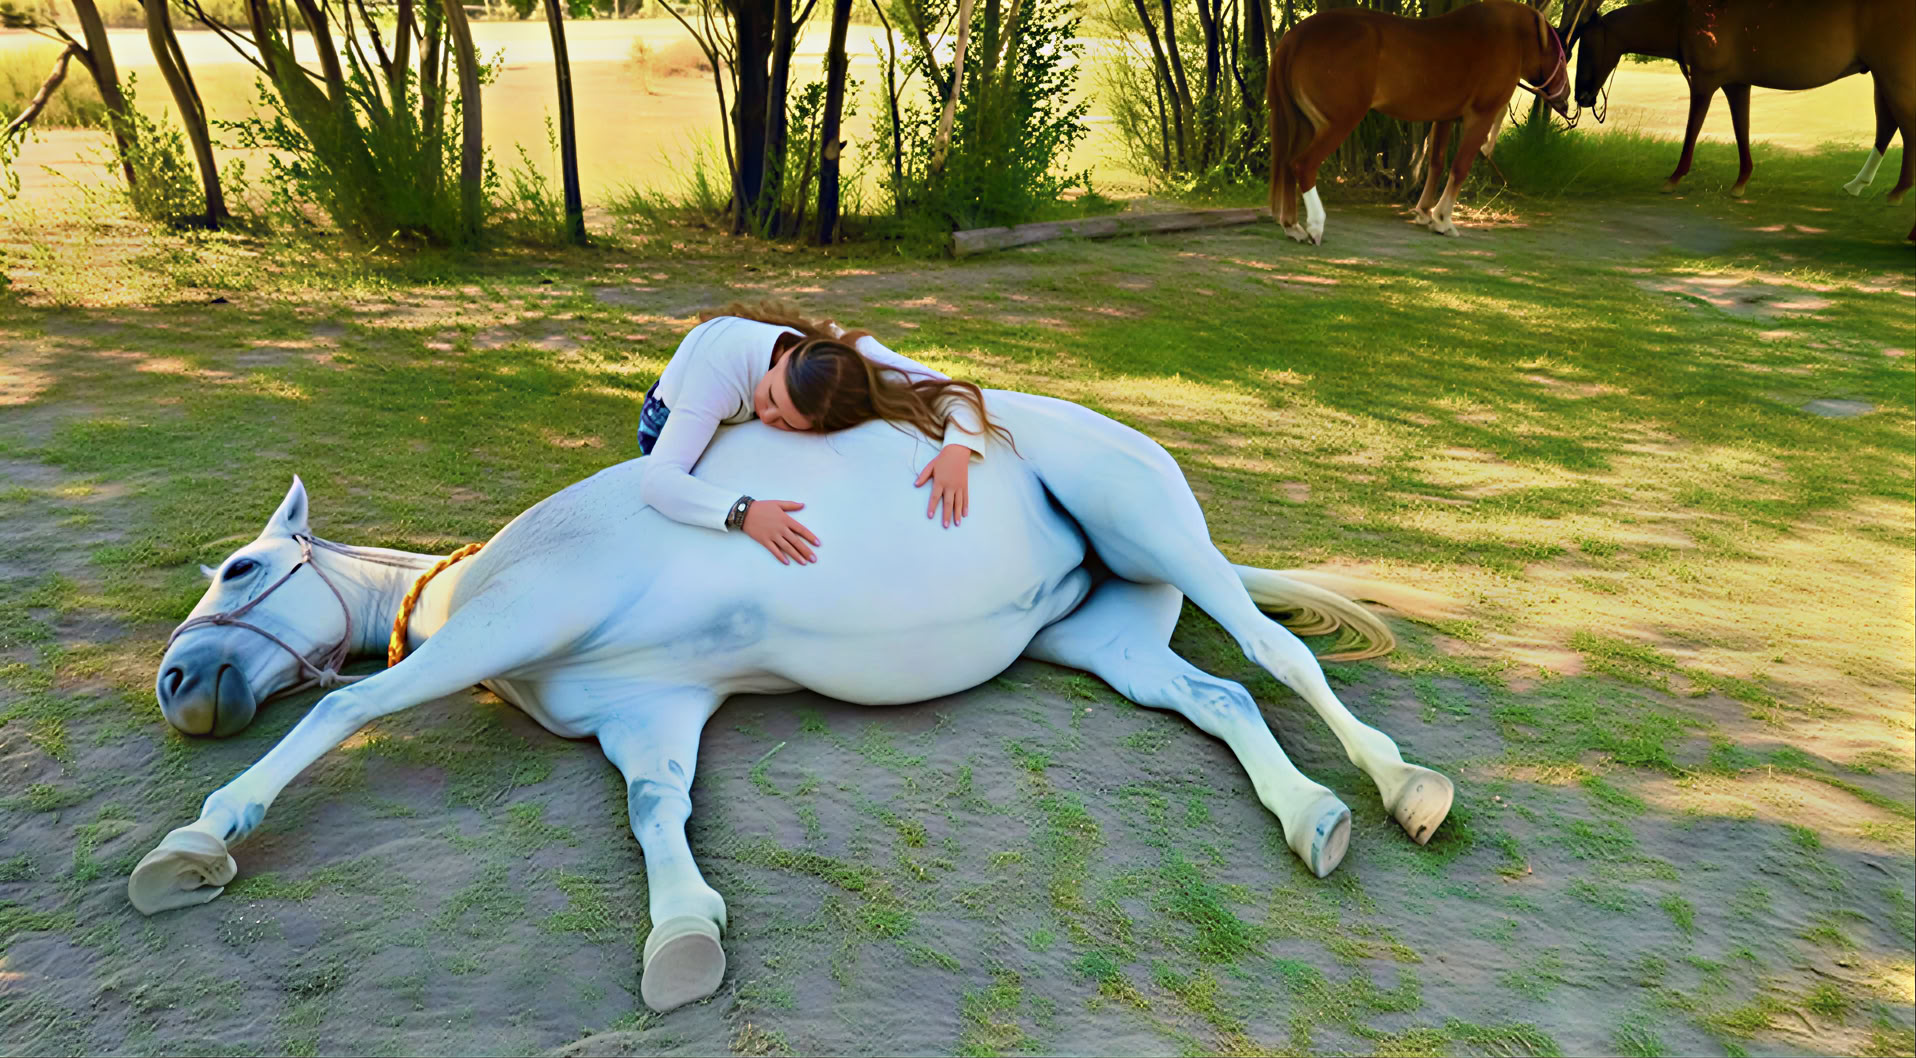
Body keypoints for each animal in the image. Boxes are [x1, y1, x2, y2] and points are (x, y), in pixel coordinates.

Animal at [129, 390, 1457, 1014]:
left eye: (239, 567)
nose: (176, 683)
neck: (487, 575)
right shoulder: (652, 713)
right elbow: (656, 812)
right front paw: (682, 932)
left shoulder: (518, 623)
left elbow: (342, 712)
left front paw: (197, 839)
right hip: (1106, 633)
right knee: (1221, 694)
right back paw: (1314, 816)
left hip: (1154, 533)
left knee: (1274, 653)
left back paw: (1406, 784)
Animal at [1267, 0, 1570, 244]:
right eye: (1562, 55)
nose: (1567, 97)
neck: (1508, 37)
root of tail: (1295, 37)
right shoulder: (1480, 116)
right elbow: (1459, 167)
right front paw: (1443, 219)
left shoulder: (1445, 117)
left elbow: (1436, 163)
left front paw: (1425, 212)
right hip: (1338, 122)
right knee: (1302, 165)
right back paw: (1315, 225)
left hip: (1303, 125)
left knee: (1287, 164)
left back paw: (1292, 226)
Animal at [1561, 0, 1914, 212]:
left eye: (1586, 45)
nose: (1582, 98)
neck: (1685, 14)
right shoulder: (1736, 85)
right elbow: (1741, 129)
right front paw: (1741, 182)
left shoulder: (1704, 82)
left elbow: (1692, 129)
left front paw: (1674, 178)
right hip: (1882, 76)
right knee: (1888, 126)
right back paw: (1857, 185)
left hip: (1893, 75)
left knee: (1905, 127)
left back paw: (1897, 192)